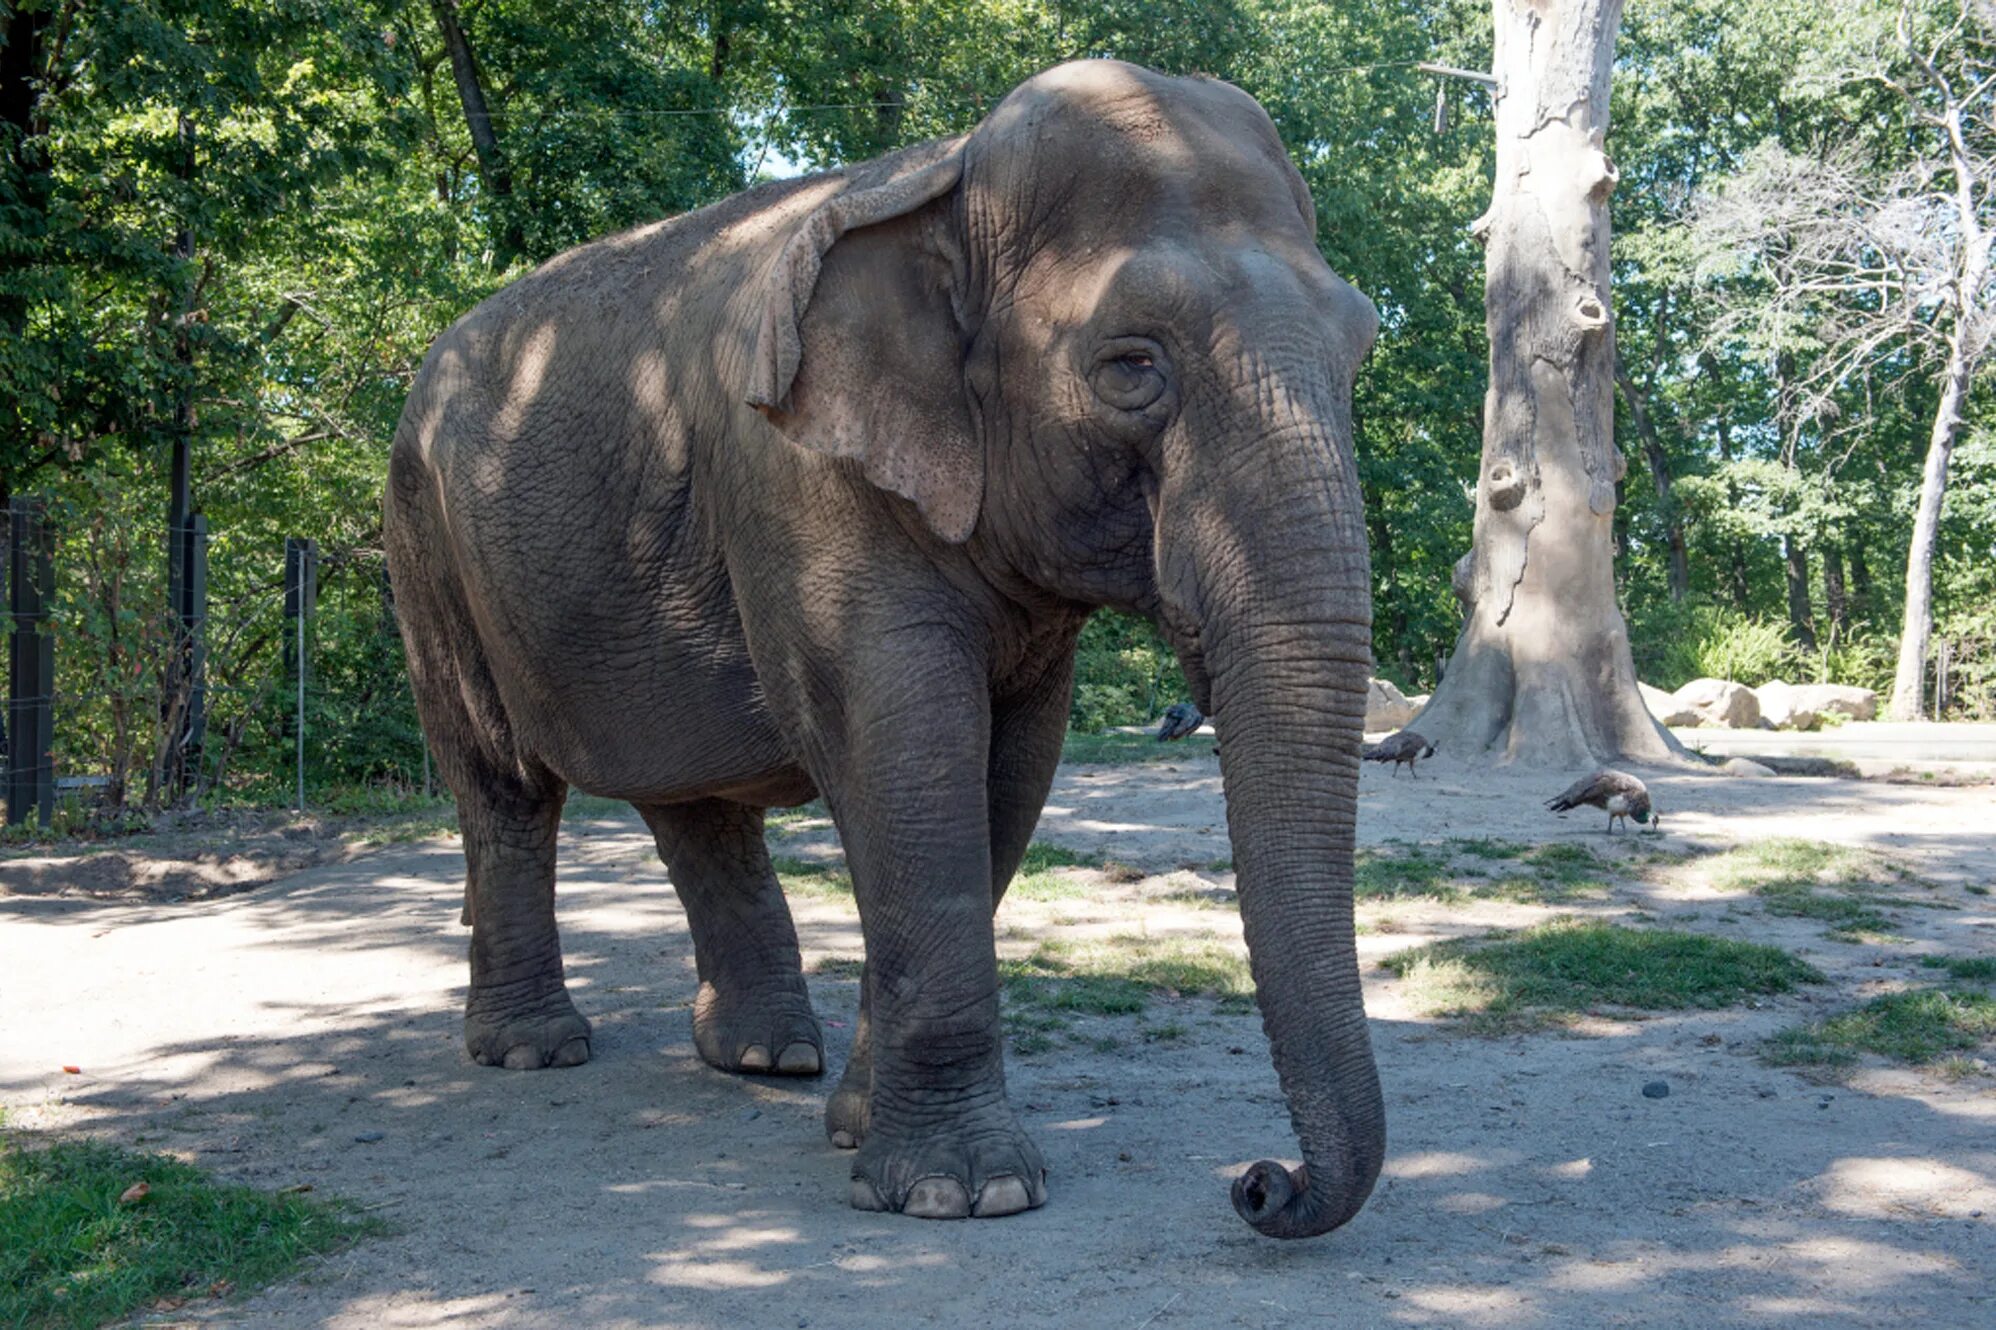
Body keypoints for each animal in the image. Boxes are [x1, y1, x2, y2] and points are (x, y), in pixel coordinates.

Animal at [389, 51, 1389, 1230]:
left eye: (1360, 352)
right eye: (1131, 366)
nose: (1259, 1184)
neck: (947, 176)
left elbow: (1008, 771)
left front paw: (862, 1128)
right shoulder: (798, 478)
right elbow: (903, 745)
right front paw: (967, 1193)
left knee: (690, 802)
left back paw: (764, 1058)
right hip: (424, 541)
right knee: (502, 784)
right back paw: (534, 1051)